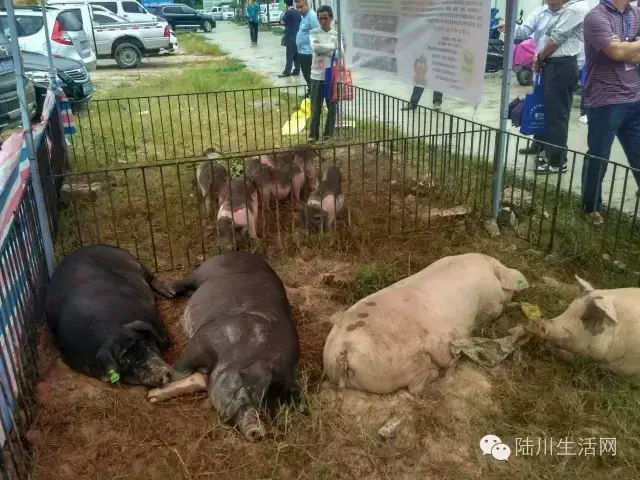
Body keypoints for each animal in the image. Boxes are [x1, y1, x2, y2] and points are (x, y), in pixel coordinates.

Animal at [44, 246, 175, 388]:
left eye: (145, 345)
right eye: (125, 363)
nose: (162, 375)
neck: (110, 331)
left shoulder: (149, 310)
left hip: (131, 260)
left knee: (150, 275)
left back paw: (169, 292)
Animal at [148, 251, 304, 442]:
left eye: (274, 411)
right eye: (253, 395)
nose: (258, 431)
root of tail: (241, 252)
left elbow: (195, 380)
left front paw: (152, 397)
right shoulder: (203, 340)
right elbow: (180, 370)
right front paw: (155, 388)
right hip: (204, 272)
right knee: (185, 282)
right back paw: (168, 291)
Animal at [322, 253, 528, 396]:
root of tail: (342, 352)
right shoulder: (491, 305)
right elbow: (498, 310)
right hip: (397, 366)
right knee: (416, 386)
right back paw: (440, 371)